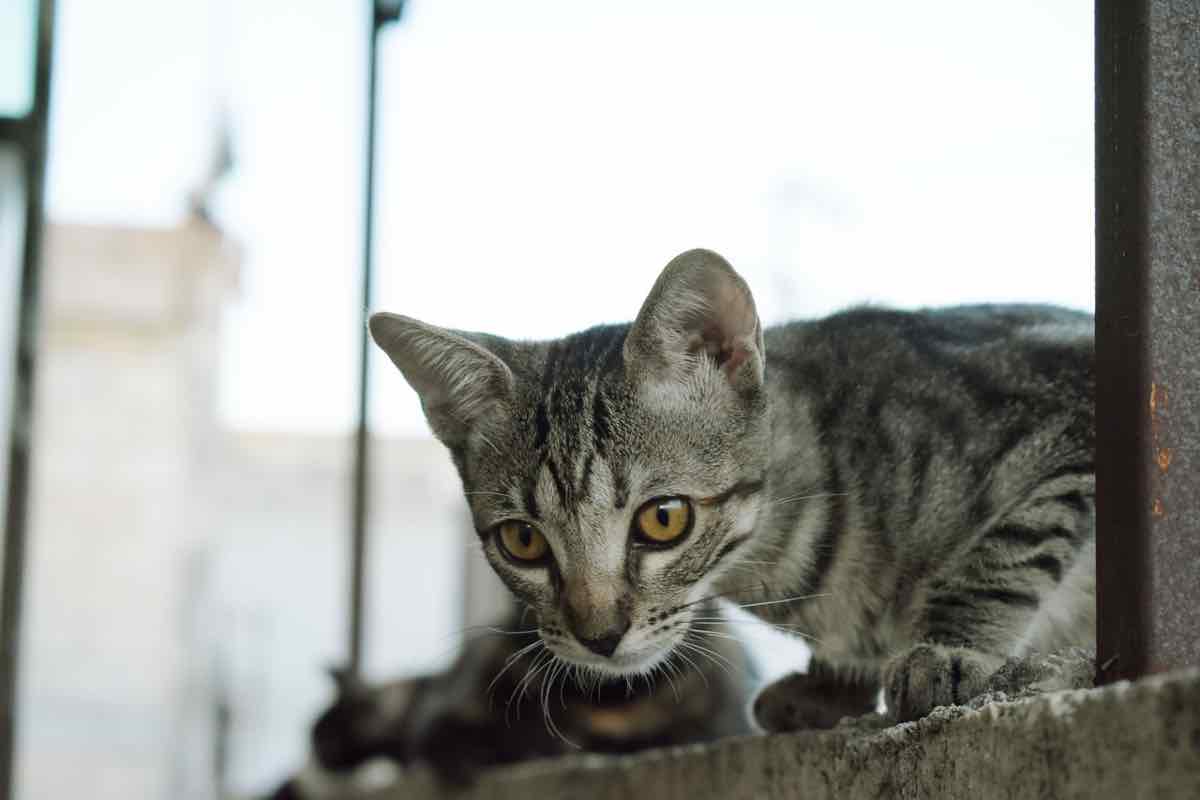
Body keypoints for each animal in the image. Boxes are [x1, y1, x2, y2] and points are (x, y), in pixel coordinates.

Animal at [369, 250, 1094, 734]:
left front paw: (945, 647)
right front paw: (832, 682)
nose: (599, 637)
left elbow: (1008, 546)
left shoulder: (1074, 420)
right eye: (522, 540)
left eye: (664, 519)